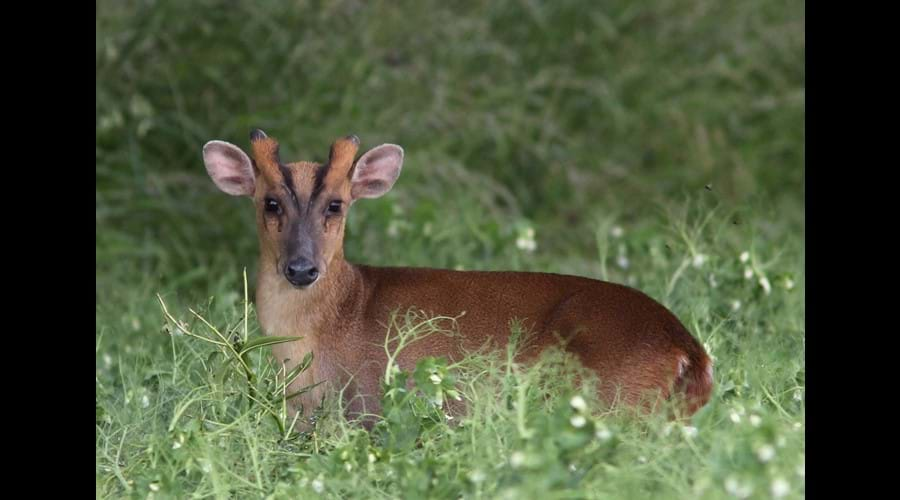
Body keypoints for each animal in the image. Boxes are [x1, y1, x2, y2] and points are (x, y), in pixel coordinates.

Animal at [202, 130, 712, 426]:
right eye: (270, 203)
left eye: (336, 204)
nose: (302, 268)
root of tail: (690, 353)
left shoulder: (365, 401)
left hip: (608, 398)